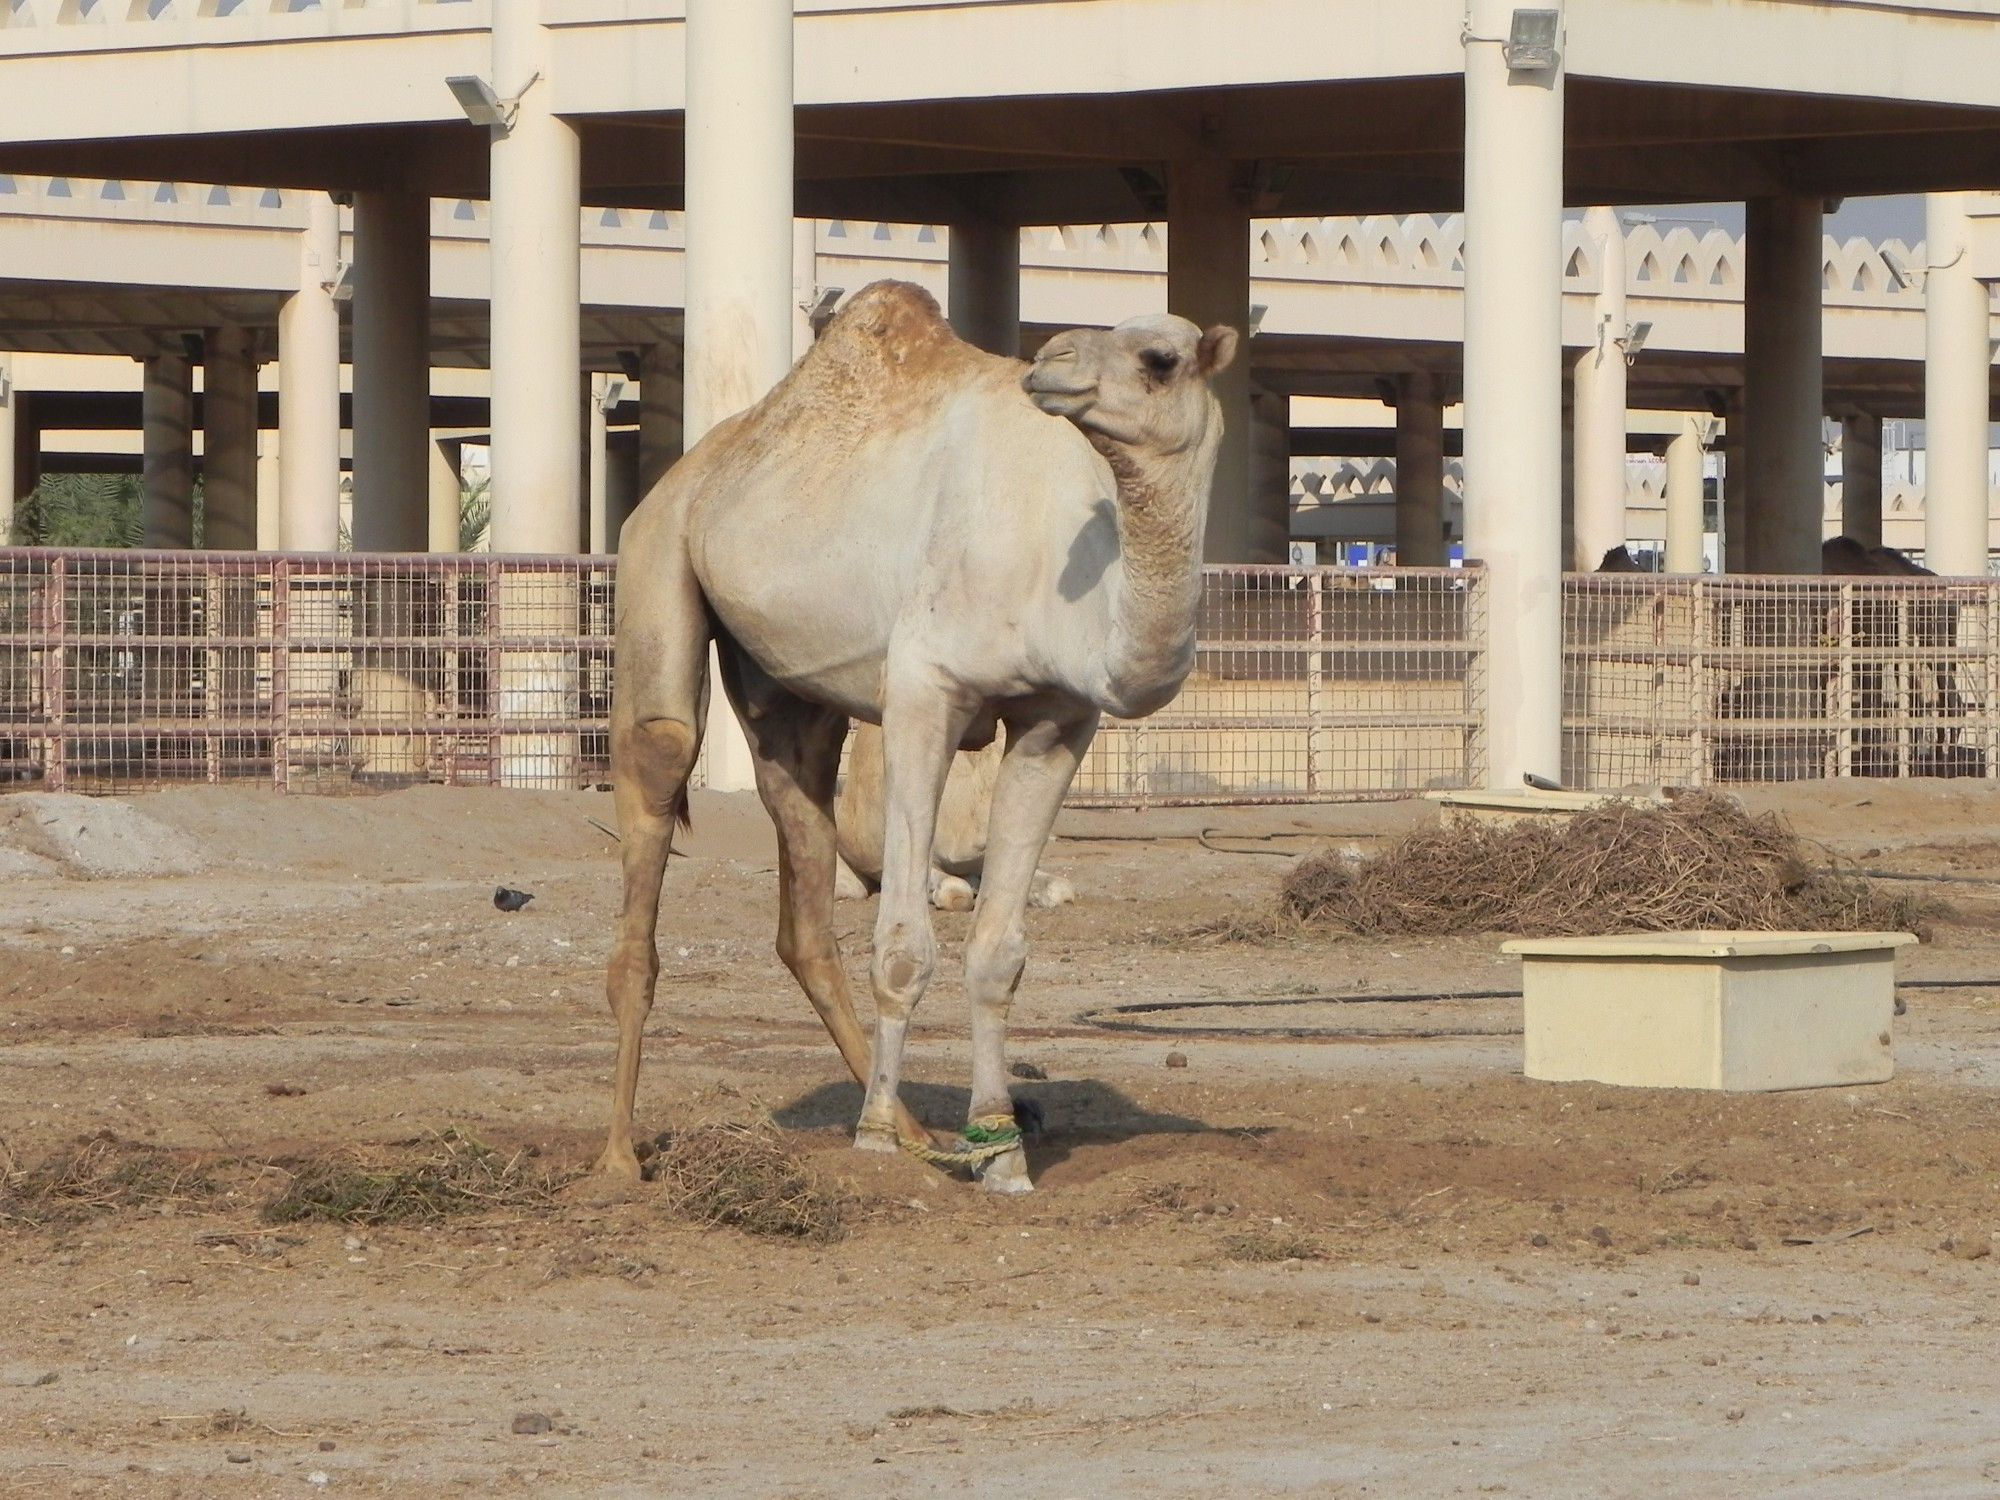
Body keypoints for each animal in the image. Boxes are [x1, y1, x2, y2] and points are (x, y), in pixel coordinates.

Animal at [596, 280, 1232, 1200]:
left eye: (1160, 357)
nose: (1051, 360)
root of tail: (693, 470)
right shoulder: (923, 691)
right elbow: (903, 947)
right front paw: (869, 1145)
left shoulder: (1057, 720)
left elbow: (998, 952)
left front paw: (1001, 1151)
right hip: (657, 562)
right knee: (662, 761)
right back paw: (622, 1156)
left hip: (788, 690)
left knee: (802, 877)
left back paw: (912, 1124)